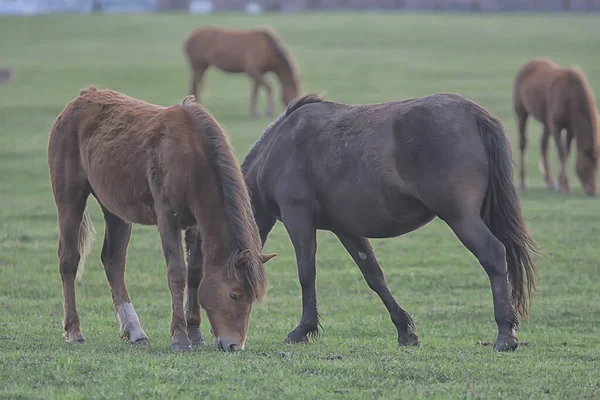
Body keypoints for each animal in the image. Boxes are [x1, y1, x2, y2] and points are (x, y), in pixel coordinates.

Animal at [48, 86, 276, 350]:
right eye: (233, 294)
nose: (234, 346)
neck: (192, 156)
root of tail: (81, 98)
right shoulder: (167, 218)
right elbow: (177, 273)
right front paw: (179, 336)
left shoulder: (197, 224)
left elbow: (195, 274)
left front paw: (194, 331)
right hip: (69, 199)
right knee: (69, 260)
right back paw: (74, 330)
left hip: (115, 209)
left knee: (113, 261)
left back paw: (134, 330)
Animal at [243, 92, 540, 352]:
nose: (232, 343)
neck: (277, 146)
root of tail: (474, 114)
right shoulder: (346, 229)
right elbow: (374, 276)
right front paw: (405, 331)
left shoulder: (298, 217)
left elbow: (306, 273)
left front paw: (302, 330)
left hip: (460, 217)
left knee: (494, 254)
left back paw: (505, 334)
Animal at [512, 58, 596, 196]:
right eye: (588, 165)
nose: (593, 192)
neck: (570, 95)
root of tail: (528, 64)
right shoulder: (556, 126)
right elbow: (562, 152)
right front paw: (565, 187)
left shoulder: (570, 129)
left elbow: (566, 153)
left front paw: (561, 183)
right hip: (521, 113)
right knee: (523, 143)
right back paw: (523, 182)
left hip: (546, 122)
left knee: (543, 144)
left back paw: (550, 182)